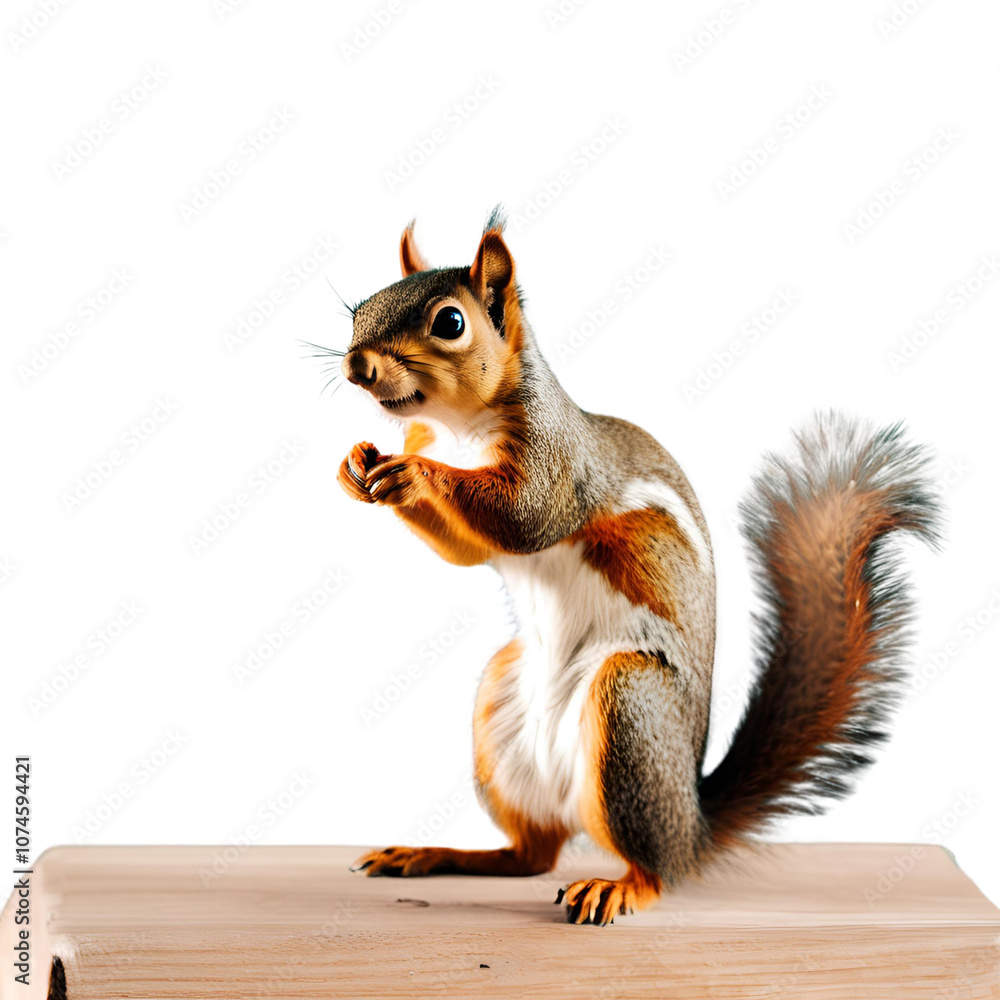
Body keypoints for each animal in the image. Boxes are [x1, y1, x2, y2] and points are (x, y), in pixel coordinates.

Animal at [333, 209, 940, 926]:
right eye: (360, 309)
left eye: (450, 322)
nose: (355, 366)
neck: (456, 429)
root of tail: (691, 825)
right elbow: (469, 549)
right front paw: (356, 465)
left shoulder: (559, 463)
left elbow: (522, 516)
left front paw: (415, 474)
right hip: (500, 713)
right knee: (530, 855)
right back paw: (440, 855)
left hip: (630, 710)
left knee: (650, 866)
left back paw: (619, 885)